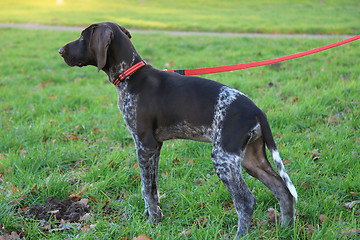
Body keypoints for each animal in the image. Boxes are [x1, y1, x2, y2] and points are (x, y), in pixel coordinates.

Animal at [58, 22, 296, 238]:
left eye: (83, 37)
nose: (60, 51)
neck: (130, 75)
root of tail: (257, 111)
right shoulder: (155, 147)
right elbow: (153, 188)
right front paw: (154, 217)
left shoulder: (144, 144)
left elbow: (146, 188)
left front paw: (152, 223)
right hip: (250, 159)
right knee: (283, 189)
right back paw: (286, 228)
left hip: (224, 159)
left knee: (246, 201)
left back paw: (241, 234)